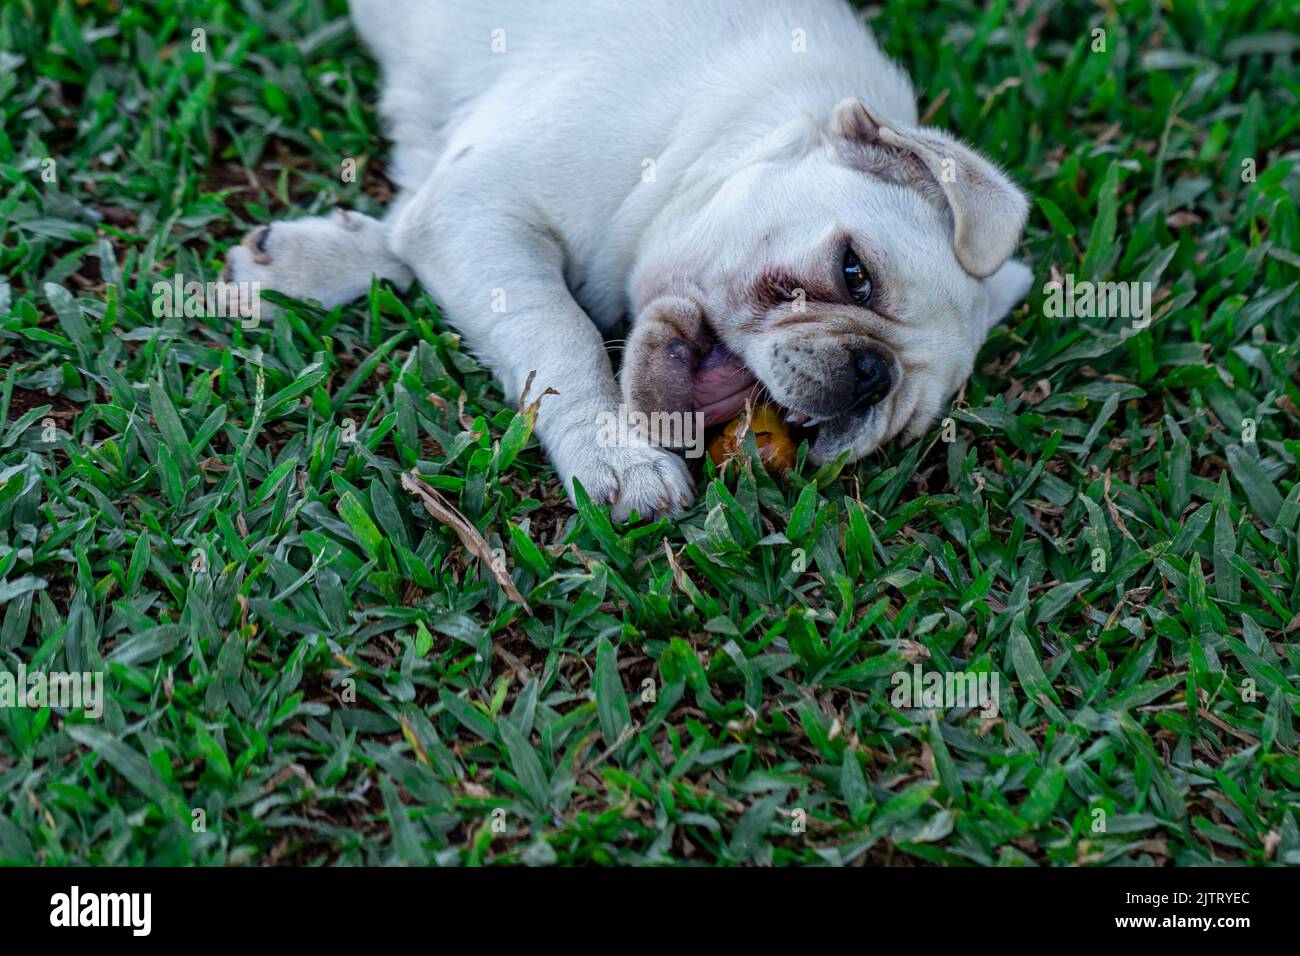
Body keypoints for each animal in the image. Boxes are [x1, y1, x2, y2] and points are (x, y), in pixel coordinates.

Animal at [228, 0, 1029, 520]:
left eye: (899, 430)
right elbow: (562, 337)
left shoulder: (451, 205)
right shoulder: (479, 208)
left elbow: (402, 232)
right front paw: (614, 454)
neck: (710, 137)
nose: (872, 373)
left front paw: (305, 259)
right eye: (854, 273)